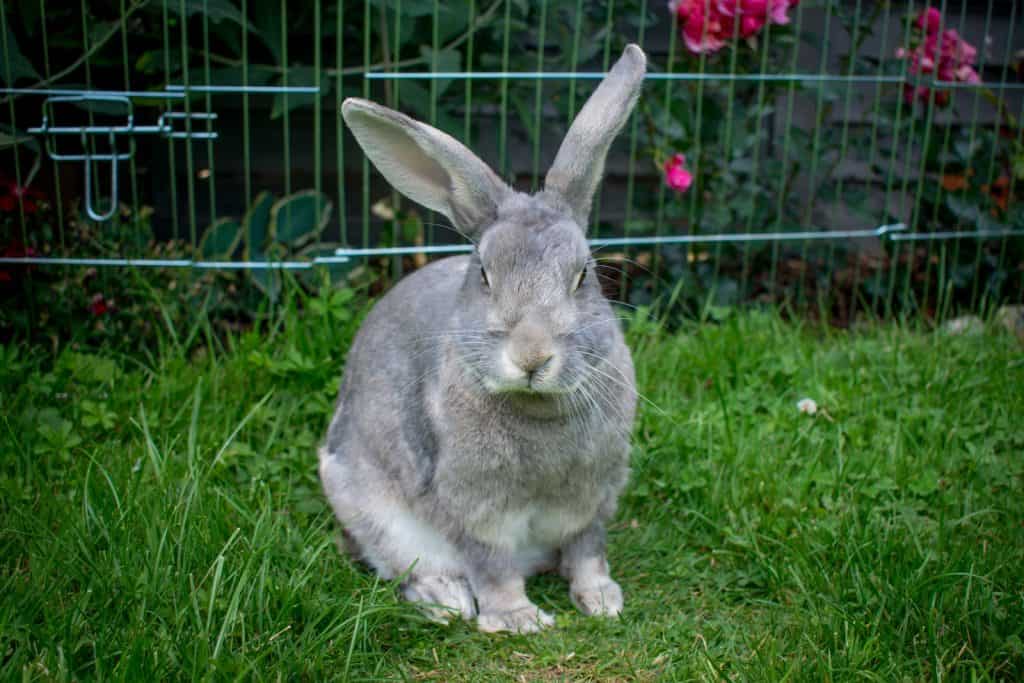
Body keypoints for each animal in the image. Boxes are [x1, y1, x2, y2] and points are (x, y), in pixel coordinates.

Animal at [319, 42, 643, 634]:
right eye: (486, 275)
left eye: (583, 275)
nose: (532, 356)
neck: (537, 408)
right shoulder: (475, 511)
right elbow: (491, 566)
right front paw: (518, 620)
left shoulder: (592, 501)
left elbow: (588, 550)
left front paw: (603, 600)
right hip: (371, 509)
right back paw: (444, 600)